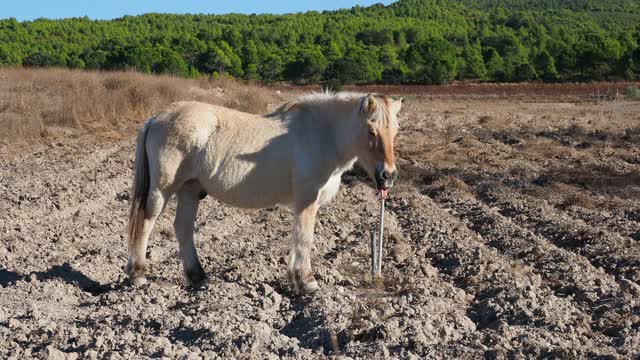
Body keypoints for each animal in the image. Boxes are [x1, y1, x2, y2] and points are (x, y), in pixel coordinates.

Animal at [126, 92, 400, 292]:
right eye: (371, 130)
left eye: (395, 131)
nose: (388, 175)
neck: (322, 134)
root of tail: (156, 117)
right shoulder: (307, 200)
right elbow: (305, 238)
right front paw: (307, 281)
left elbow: (297, 238)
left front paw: (296, 278)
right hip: (162, 190)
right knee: (146, 224)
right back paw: (138, 275)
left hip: (190, 190)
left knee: (183, 228)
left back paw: (198, 276)